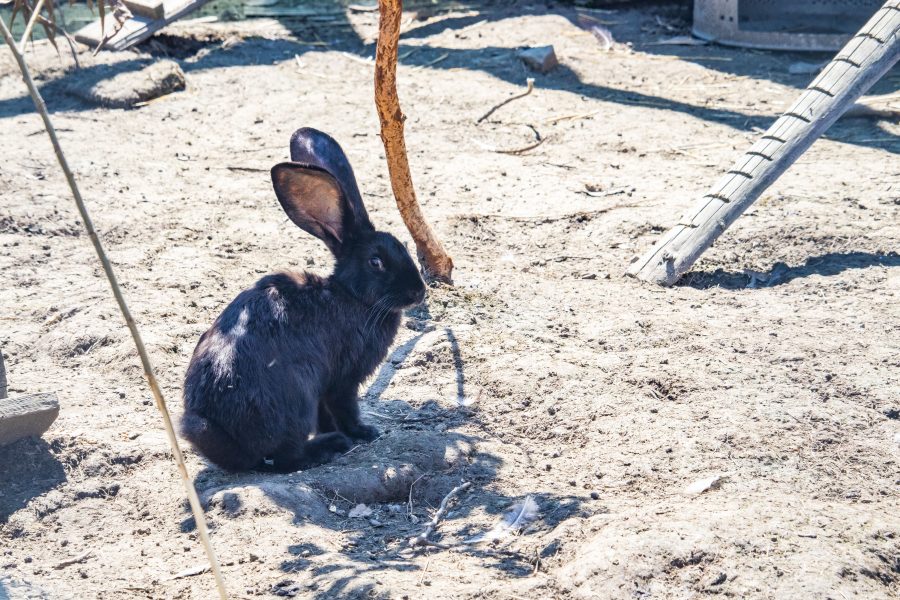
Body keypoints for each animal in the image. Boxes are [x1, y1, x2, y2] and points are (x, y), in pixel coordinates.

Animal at [181, 127, 428, 474]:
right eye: (376, 262)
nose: (419, 292)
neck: (351, 296)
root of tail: (233, 446)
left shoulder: (328, 389)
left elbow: (328, 414)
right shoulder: (343, 379)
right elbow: (346, 408)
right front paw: (363, 432)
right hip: (298, 398)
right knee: (287, 458)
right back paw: (329, 446)